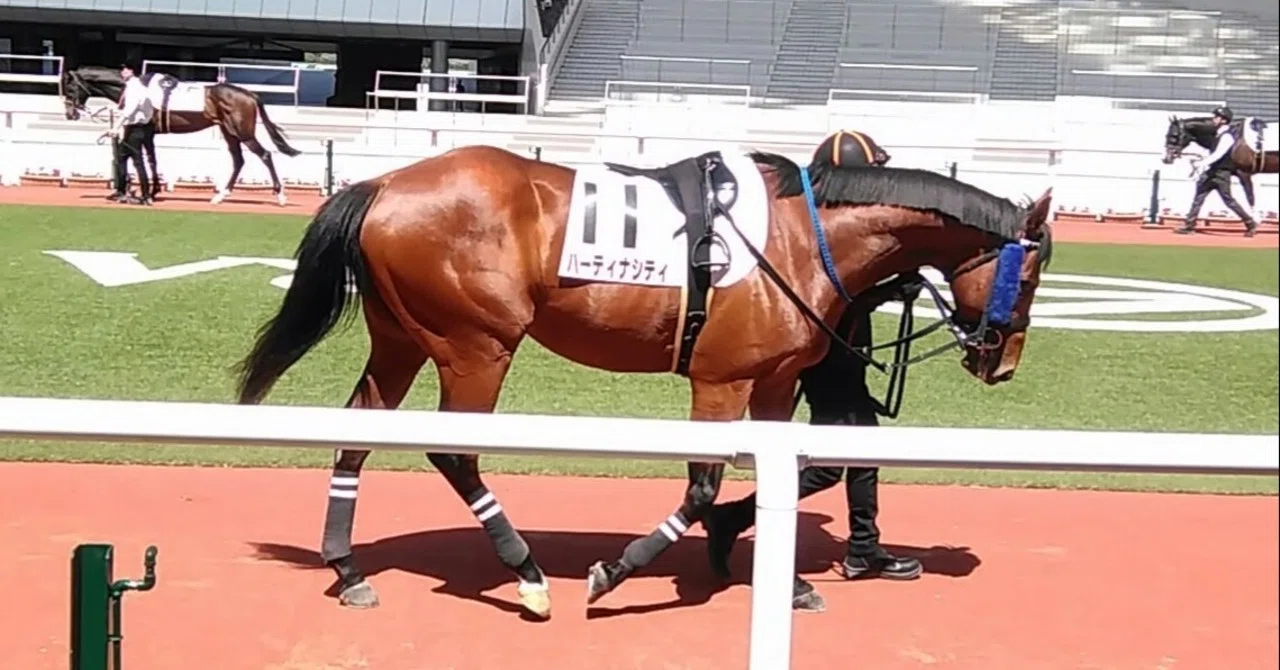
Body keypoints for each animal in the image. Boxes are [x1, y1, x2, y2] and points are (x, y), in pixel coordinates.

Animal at [61, 65, 302, 206]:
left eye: (70, 88)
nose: (70, 114)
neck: (136, 90)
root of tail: (250, 94)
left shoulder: (140, 131)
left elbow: (133, 155)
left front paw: (142, 193)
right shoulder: (149, 134)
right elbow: (150, 160)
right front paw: (152, 192)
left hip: (243, 133)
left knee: (265, 155)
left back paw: (280, 195)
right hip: (230, 132)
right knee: (238, 160)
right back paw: (221, 195)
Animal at [232, 143, 1053, 619]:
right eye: (1032, 272)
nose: (1002, 361)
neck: (804, 236)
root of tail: (381, 182)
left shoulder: (775, 382)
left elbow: (789, 469)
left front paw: (783, 577)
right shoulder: (719, 382)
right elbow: (701, 486)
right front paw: (618, 572)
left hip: (403, 339)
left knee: (357, 434)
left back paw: (347, 567)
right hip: (477, 345)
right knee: (454, 452)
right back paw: (526, 572)